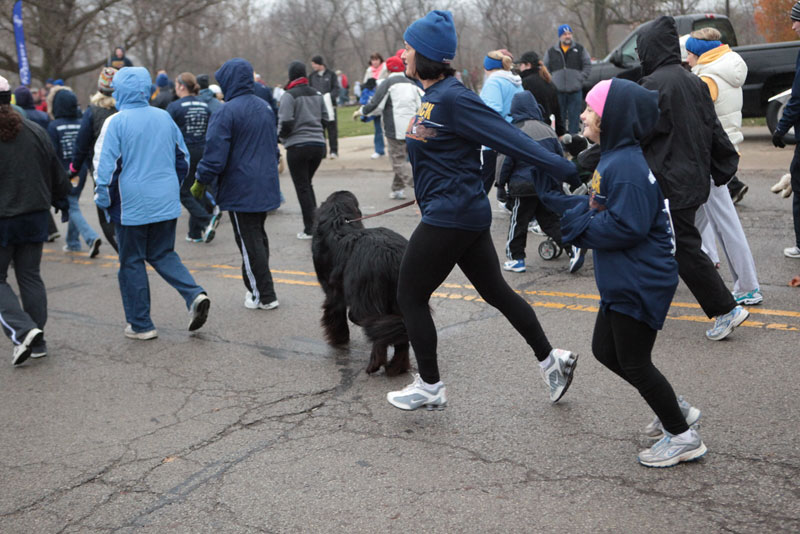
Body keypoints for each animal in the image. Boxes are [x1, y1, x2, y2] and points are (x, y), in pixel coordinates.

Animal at [312, 192, 412, 376]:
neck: (338, 218)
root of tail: (390, 253)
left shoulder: (332, 291)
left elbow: (335, 314)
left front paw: (339, 339)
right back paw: (396, 367)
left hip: (365, 299)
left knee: (378, 326)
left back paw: (375, 364)